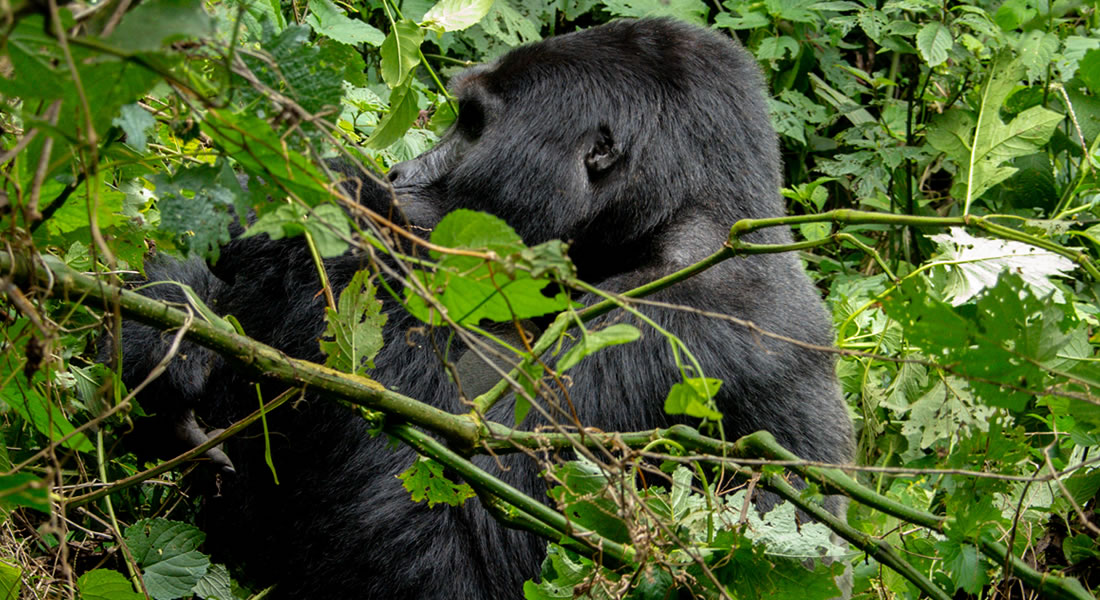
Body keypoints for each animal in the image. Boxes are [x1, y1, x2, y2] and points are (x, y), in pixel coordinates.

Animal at [109, 16, 849, 598]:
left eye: (470, 125)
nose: (399, 174)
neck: (679, 220)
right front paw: (167, 337)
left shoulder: (680, 333)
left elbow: (457, 550)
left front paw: (322, 209)